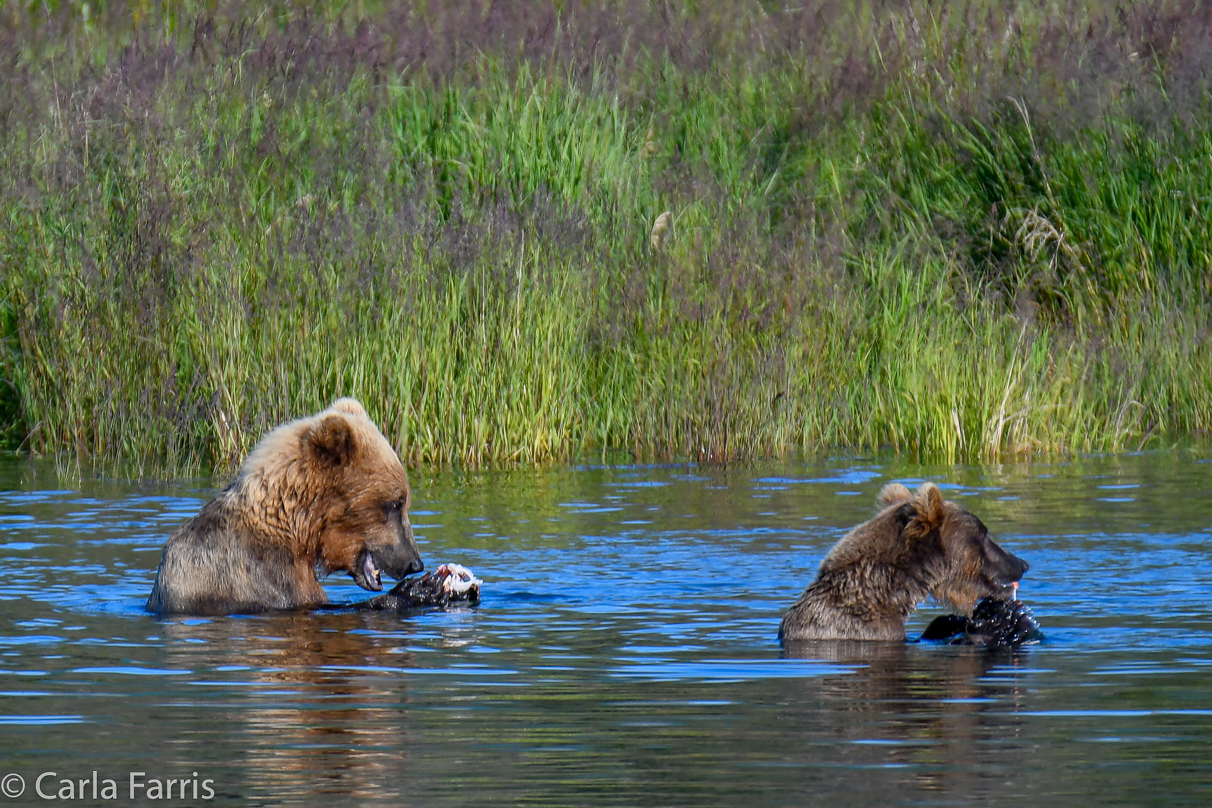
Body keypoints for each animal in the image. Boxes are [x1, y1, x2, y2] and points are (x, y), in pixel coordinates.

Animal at [146, 397, 424, 612]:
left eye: (403, 501)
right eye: (396, 503)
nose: (415, 564)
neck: (295, 529)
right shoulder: (263, 578)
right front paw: (415, 591)